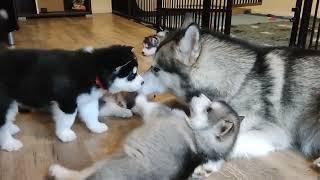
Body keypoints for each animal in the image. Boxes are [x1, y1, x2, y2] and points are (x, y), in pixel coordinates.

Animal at [49, 94, 242, 180]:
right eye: (210, 103)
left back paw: (57, 170)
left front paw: (138, 99)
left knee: (78, 176)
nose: (197, 93)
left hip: (107, 163)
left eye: (209, 109)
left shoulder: (157, 113)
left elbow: (146, 104)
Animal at [139, 13, 320, 176]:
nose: (138, 81)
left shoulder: (275, 132)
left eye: (156, 69)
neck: (239, 82)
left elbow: (230, 142)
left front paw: (209, 161)